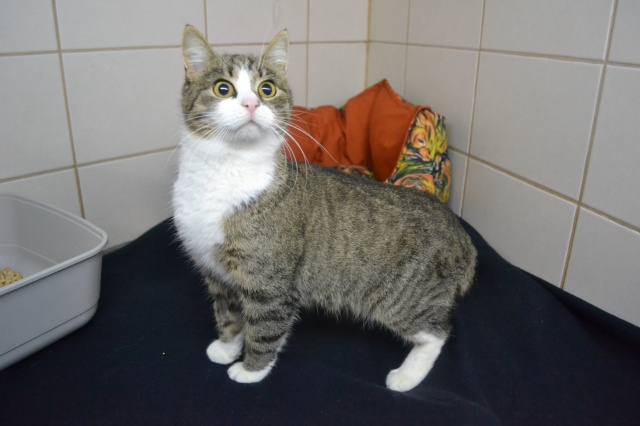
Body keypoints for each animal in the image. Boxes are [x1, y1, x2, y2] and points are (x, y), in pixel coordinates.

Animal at [172, 25, 477, 392]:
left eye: (267, 88)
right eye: (222, 88)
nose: (251, 103)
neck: (226, 170)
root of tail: (461, 235)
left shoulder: (269, 282)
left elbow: (264, 327)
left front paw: (251, 369)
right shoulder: (218, 274)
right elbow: (230, 315)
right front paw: (227, 347)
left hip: (402, 298)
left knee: (437, 332)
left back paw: (406, 376)